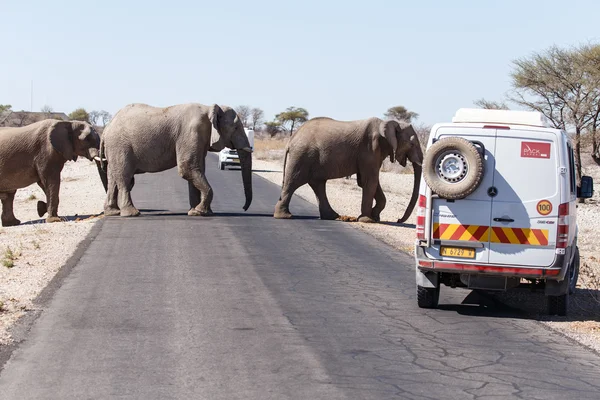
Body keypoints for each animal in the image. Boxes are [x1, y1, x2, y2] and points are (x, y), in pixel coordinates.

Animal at [98, 102, 251, 216]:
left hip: (114, 148)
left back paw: (113, 212)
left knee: (113, 178)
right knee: (124, 177)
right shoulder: (191, 133)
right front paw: (200, 211)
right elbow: (187, 169)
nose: (243, 208)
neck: (209, 108)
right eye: (236, 127)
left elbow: (196, 170)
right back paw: (132, 214)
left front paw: (196, 212)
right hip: (120, 146)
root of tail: (106, 129)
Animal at [274, 117, 424, 223]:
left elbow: (367, 181)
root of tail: (291, 139)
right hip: (302, 156)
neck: (388, 123)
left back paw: (333, 216)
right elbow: (370, 180)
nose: (398, 220)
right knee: (293, 182)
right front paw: (368, 220)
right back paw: (285, 216)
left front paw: (375, 217)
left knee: (318, 184)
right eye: (412, 144)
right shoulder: (369, 148)